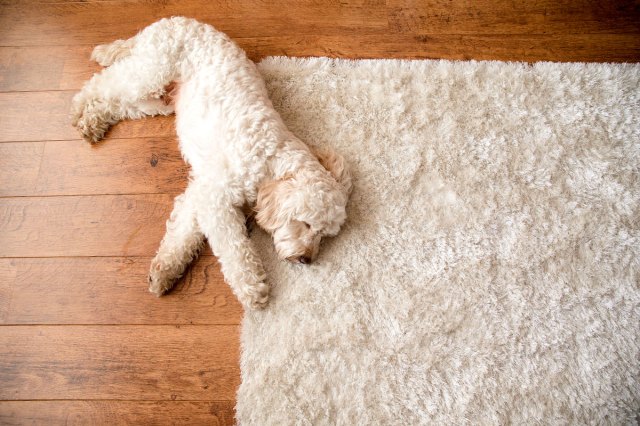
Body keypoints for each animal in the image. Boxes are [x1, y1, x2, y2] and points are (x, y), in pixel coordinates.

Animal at [72, 16, 352, 310]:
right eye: (307, 224)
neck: (269, 159)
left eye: (324, 235)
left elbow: (183, 232)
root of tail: (172, 20)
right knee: (102, 83)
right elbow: (234, 248)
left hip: (157, 100)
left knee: (118, 104)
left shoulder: (200, 191)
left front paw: (165, 270)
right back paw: (79, 107)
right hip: (148, 73)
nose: (307, 259)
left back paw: (93, 121)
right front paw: (252, 287)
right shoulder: (216, 197)